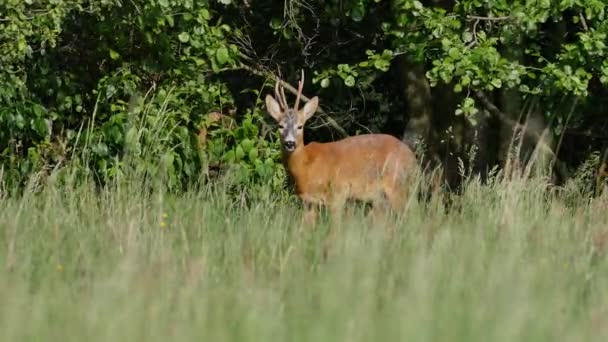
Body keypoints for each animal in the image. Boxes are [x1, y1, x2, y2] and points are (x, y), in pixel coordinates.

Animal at [266, 71, 418, 224]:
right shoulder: (308, 202)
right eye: (280, 126)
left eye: (300, 126)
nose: (290, 143)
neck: (307, 167)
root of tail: (413, 158)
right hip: (383, 197)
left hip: (397, 183)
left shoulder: (338, 194)